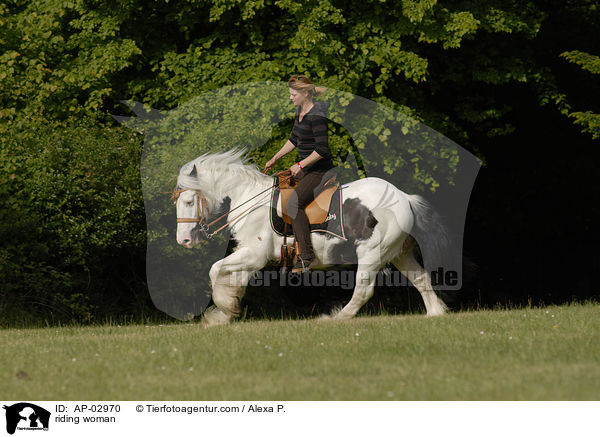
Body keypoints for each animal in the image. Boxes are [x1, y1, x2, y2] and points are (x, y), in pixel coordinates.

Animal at [171, 149, 448, 324]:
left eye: (188, 201)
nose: (183, 241)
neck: (248, 198)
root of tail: (404, 198)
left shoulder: (254, 255)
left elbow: (215, 270)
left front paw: (226, 308)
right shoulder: (247, 255)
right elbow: (230, 278)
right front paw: (225, 312)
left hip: (371, 253)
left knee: (363, 290)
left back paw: (336, 317)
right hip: (399, 253)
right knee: (421, 279)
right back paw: (435, 313)